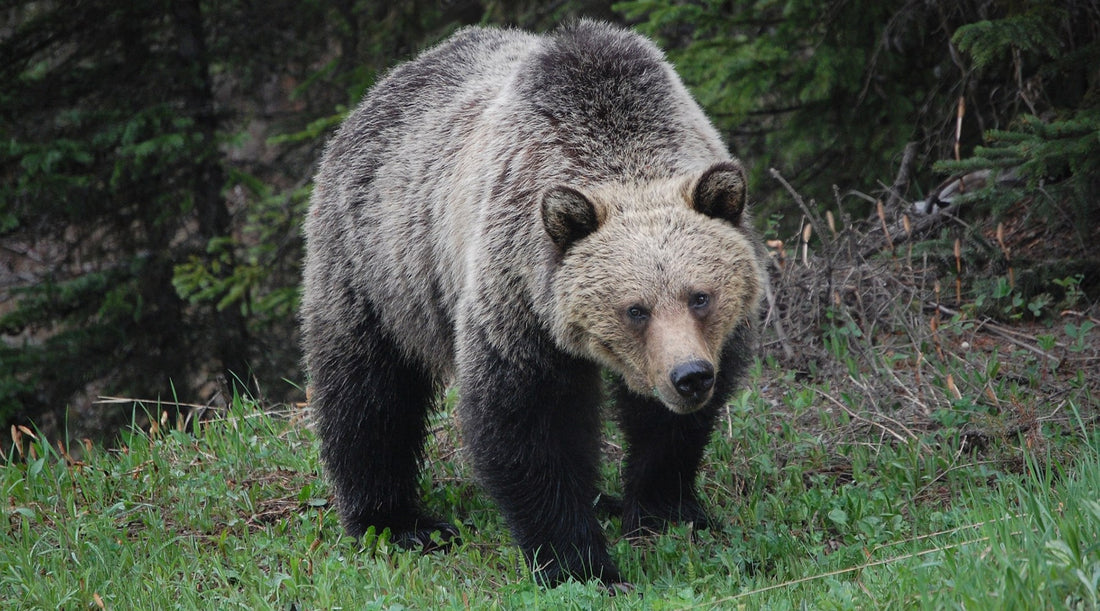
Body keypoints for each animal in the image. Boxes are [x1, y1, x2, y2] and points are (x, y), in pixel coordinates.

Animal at [300, 20, 765, 587]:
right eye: (635, 309)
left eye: (700, 296)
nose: (690, 376)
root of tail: (383, 86)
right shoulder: (517, 295)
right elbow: (528, 421)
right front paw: (580, 563)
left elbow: (669, 428)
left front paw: (666, 510)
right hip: (378, 264)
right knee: (369, 393)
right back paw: (398, 522)